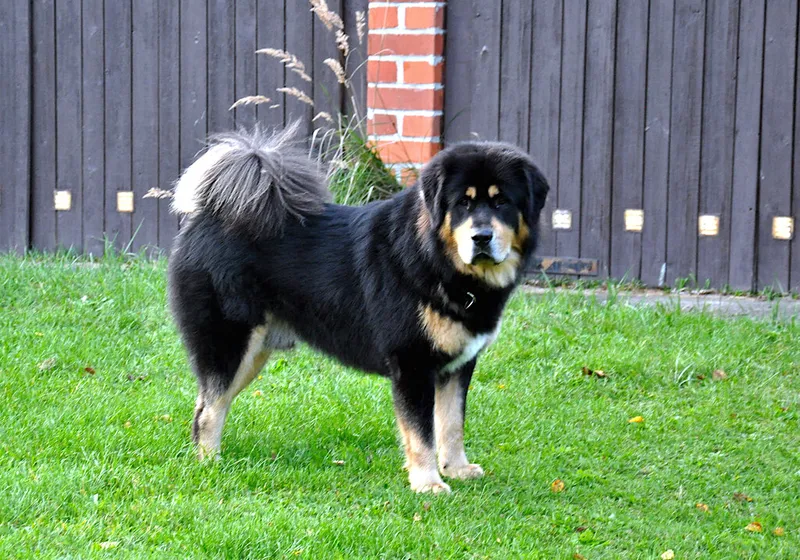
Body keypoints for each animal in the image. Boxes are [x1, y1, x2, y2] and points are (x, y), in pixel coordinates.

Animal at [168, 124, 549, 493]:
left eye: (502, 203)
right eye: (462, 204)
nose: (481, 237)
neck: (438, 260)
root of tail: (207, 216)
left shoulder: (457, 366)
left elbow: (451, 424)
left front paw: (455, 469)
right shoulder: (413, 365)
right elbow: (421, 433)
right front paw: (427, 483)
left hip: (252, 353)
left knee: (207, 402)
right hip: (230, 344)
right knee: (209, 409)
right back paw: (211, 464)